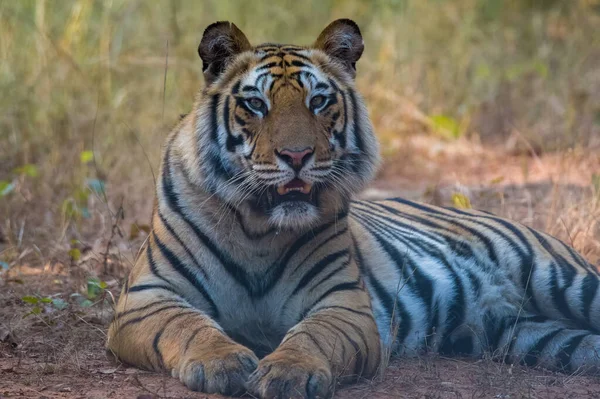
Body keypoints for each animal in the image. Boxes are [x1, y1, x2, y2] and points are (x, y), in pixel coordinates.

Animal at [106, 19, 600, 399]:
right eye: (256, 104)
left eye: (319, 101)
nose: (297, 156)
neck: (258, 227)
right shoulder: (146, 297)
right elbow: (188, 325)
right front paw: (222, 362)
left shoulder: (343, 302)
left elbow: (313, 335)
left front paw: (289, 372)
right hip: (532, 335)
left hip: (564, 280)